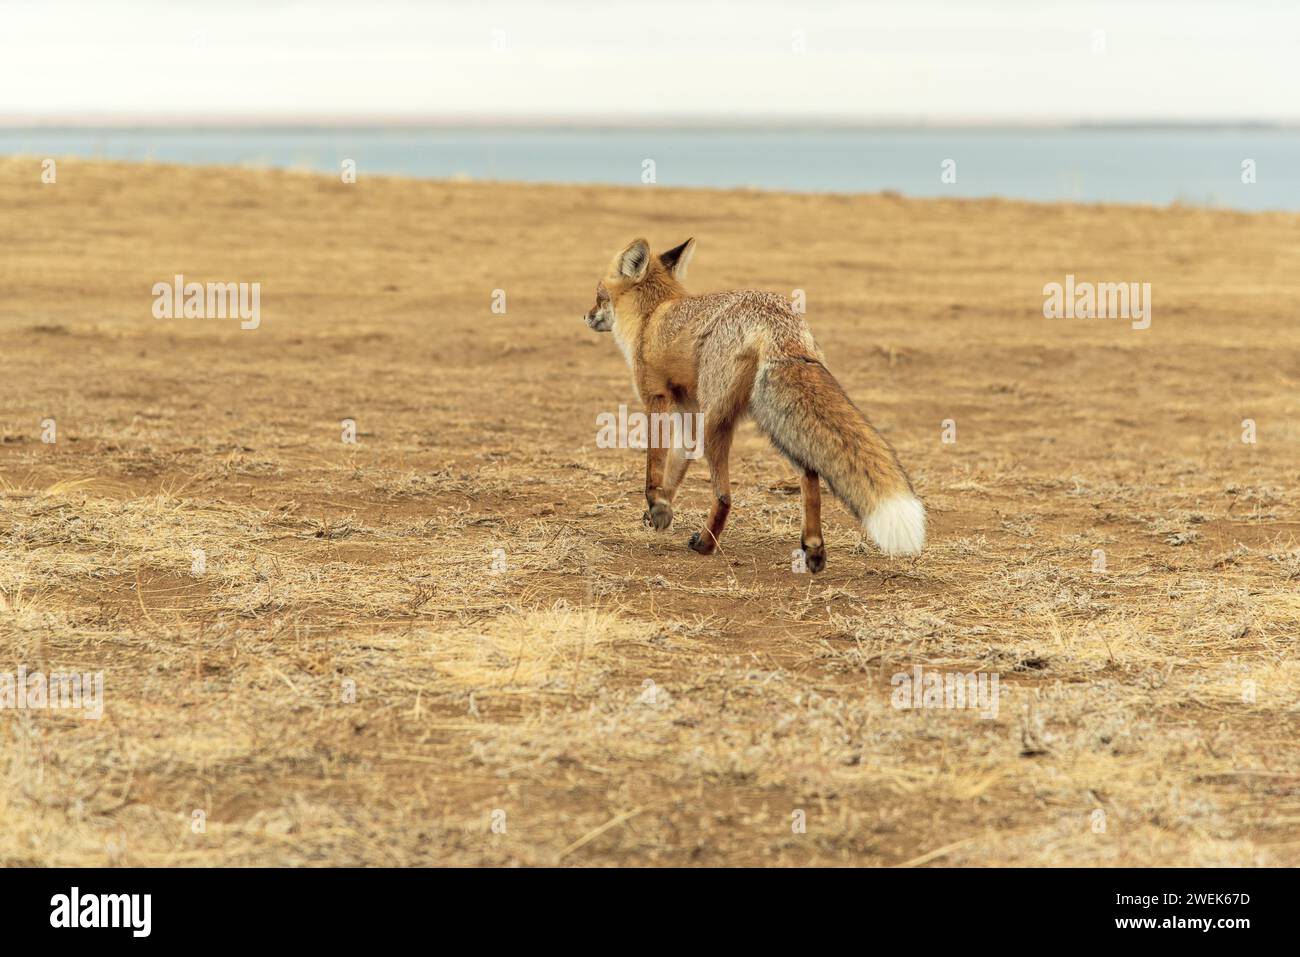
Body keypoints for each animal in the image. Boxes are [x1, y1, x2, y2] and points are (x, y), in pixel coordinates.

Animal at [585, 237, 920, 572]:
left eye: (599, 295)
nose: (586, 316)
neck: (652, 316)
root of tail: (779, 320)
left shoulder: (655, 396)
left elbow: (655, 464)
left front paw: (656, 505)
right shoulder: (687, 408)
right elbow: (676, 466)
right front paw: (660, 512)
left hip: (719, 422)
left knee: (724, 496)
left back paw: (705, 544)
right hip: (776, 421)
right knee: (810, 475)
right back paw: (813, 548)